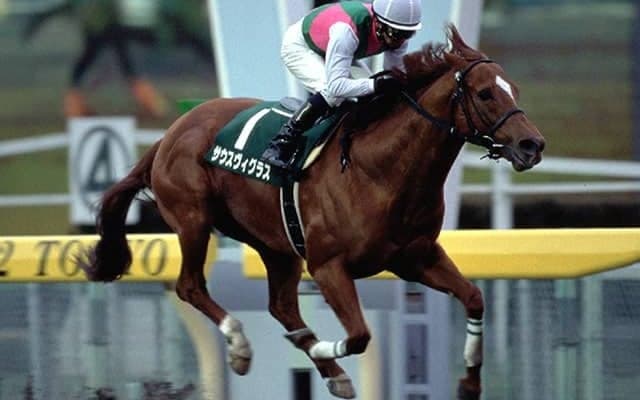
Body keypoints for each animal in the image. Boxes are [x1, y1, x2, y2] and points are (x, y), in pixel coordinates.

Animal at [78, 24, 545, 399]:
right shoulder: (328, 266)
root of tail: (170, 134)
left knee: (281, 306)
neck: (381, 169)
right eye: (485, 93)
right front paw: (319, 351)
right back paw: (243, 348)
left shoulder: (416, 257)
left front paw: (469, 383)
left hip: (275, 243)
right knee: (190, 286)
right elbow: (359, 335)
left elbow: (474, 298)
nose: (532, 145)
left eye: (515, 90)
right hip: (193, 219)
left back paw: (324, 365)